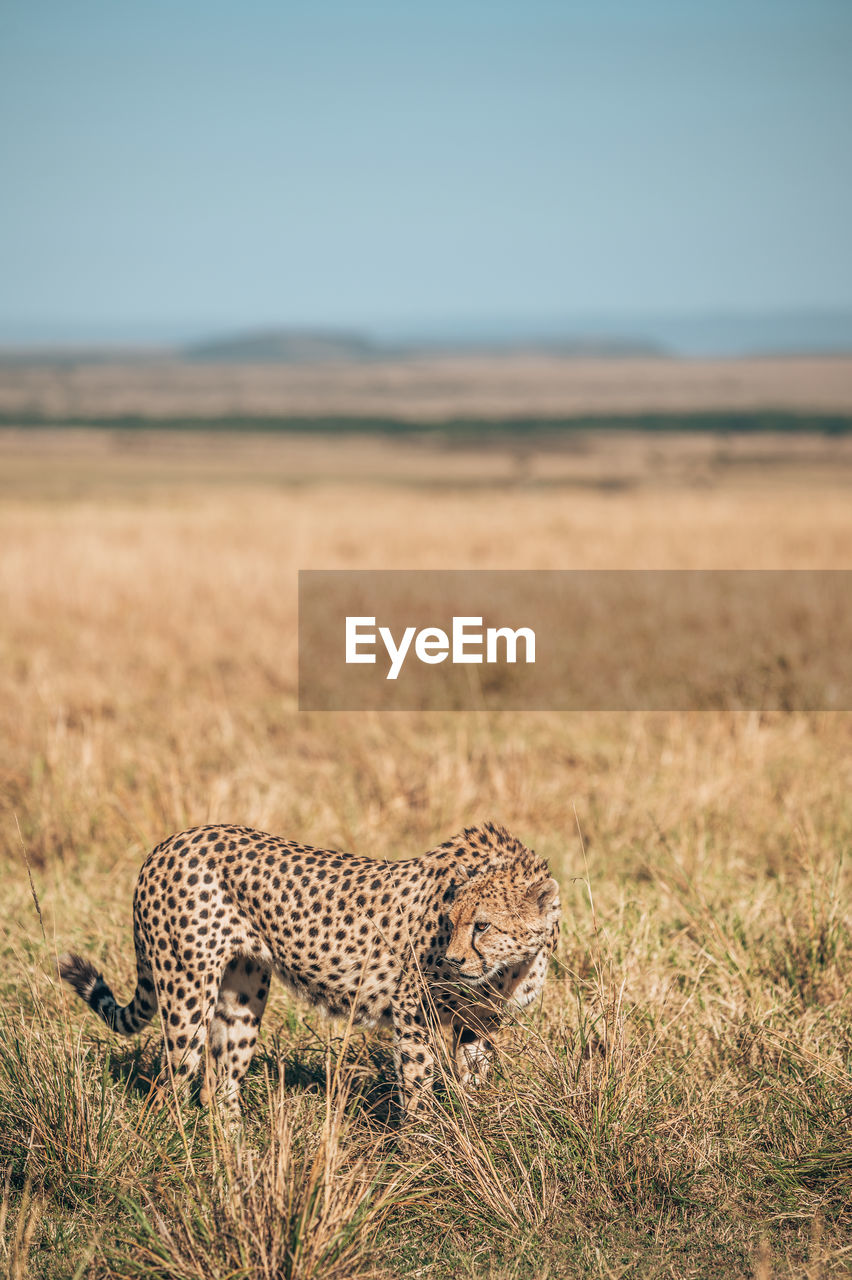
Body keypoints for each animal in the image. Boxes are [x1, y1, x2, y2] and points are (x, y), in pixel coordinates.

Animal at [63, 824, 560, 1116]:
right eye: (451, 923)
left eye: (482, 925)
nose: (454, 961)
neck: (509, 969)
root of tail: (171, 840)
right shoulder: (412, 1010)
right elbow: (418, 1084)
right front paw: (424, 1153)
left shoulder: (479, 1024)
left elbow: (472, 1079)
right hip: (187, 991)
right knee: (169, 1086)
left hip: (242, 994)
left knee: (217, 1085)